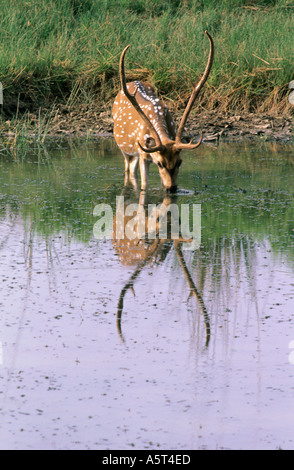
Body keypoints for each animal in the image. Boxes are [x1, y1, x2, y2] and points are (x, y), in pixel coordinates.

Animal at [112, 31, 214, 193]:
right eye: (160, 163)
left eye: (179, 162)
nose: (171, 188)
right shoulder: (143, 153)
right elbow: (144, 186)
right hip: (125, 149)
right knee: (128, 169)